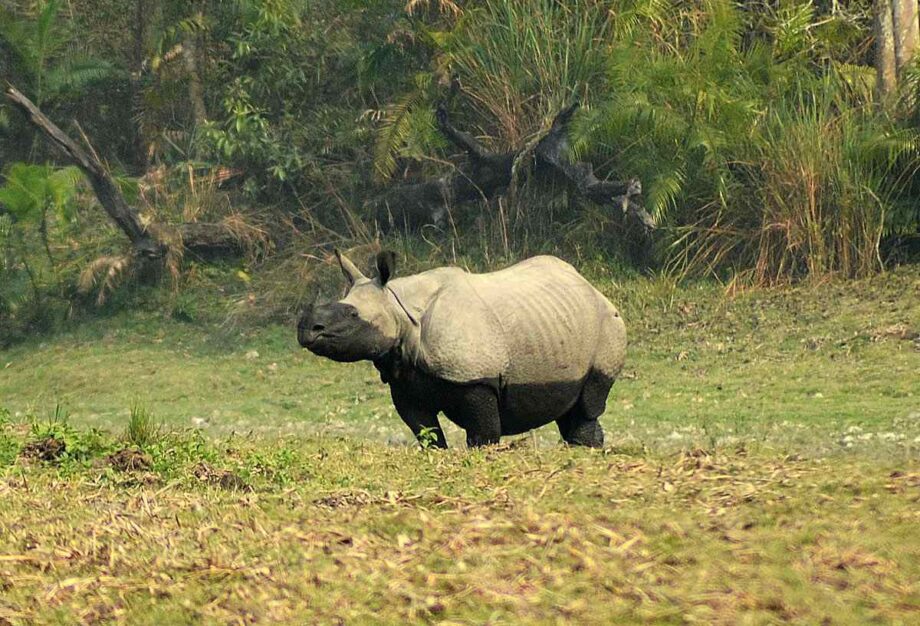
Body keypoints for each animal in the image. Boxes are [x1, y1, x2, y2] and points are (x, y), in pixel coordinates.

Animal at [297, 251, 626, 448]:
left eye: (353, 314)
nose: (306, 329)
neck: (401, 311)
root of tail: (593, 287)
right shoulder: (405, 381)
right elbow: (426, 433)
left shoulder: (476, 379)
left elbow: (482, 434)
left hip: (607, 323)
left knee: (589, 402)